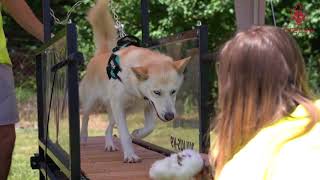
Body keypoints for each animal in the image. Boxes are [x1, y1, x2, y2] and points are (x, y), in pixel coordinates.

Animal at [80, 0, 190, 163]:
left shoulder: (149, 106)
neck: (135, 88)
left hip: (114, 112)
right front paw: (130, 155)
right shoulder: (120, 106)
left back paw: (109, 145)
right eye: (157, 92)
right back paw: (83, 137)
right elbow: (124, 134)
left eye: (173, 91)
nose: (170, 116)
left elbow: (149, 127)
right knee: (85, 117)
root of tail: (101, 53)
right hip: (93, 103)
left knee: (108, 129)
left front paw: (137, 133)